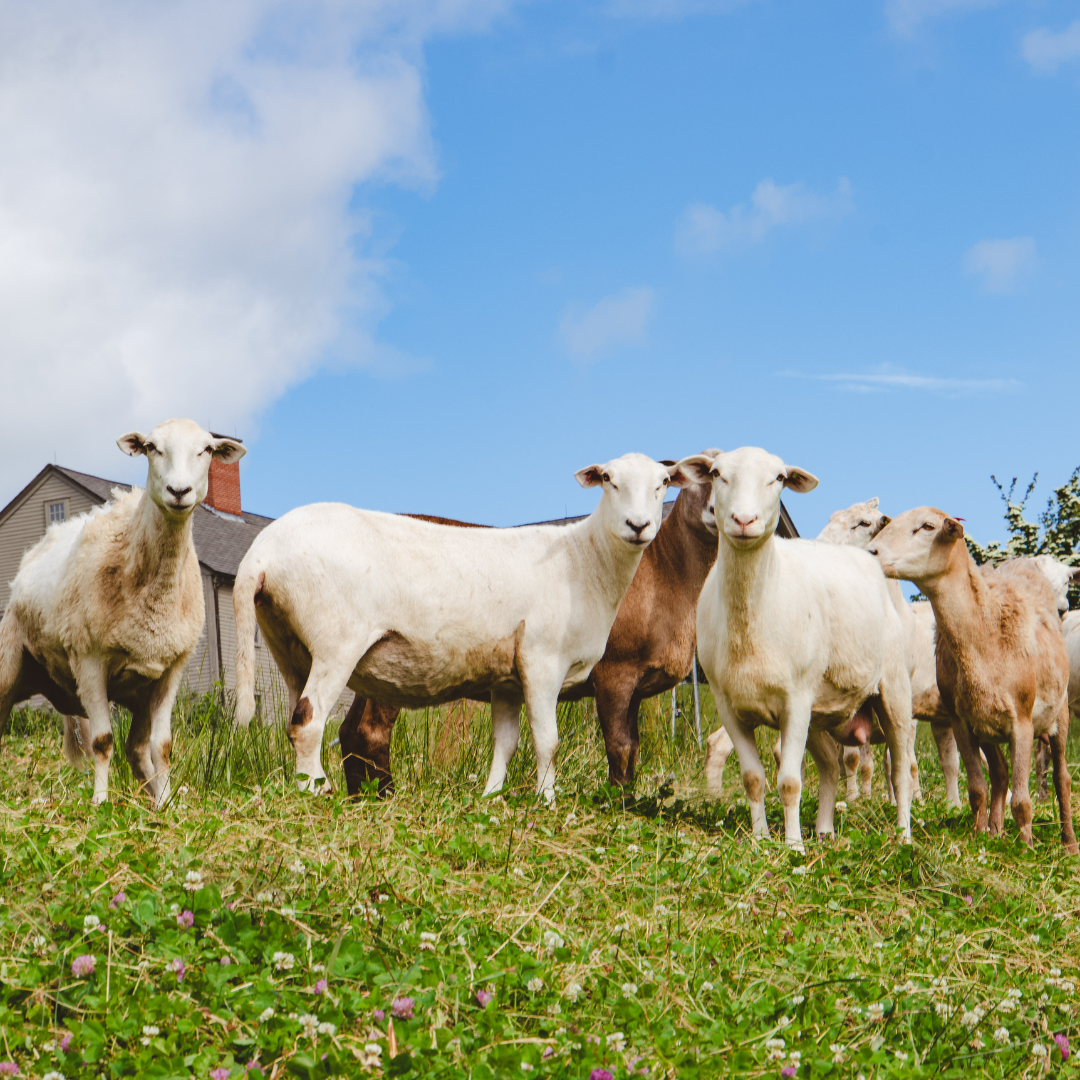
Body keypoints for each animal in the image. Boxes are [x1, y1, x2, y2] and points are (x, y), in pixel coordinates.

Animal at [0, 416, 245, 807]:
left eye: (206, 449)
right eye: (152, 448)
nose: (179, 491)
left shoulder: (169, 671)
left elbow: (162, 746)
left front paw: (166, 804)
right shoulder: (89, 662)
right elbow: (102, 742)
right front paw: (100, 802)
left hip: (137, 692)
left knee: (137, 749)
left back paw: (154, 796)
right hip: (11, 665)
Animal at [234, 451, 691, 799]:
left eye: (664, 482)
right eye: (609, 480)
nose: (638, 526)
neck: (584, 560)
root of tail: (262, 552)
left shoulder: (507, 679)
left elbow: (506, 743)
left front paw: (492, 796)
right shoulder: (543, 660)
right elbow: (549, 741)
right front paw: (546, 800)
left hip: (288, 644)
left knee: (295, 717)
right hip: (336, 641)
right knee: (309, 722)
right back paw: (320, 792)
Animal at [682, 449, 911, 851]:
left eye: (779, 478)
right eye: (716, 474)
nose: (744, 520)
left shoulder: (795, 700)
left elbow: (789, 782)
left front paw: (792, 847)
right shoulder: (729, 705)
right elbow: (753, 778)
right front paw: (760, 840)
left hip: (892, 693)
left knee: (900, 772)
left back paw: (903, 837)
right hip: (818, 712)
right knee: (831, 766)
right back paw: (824, 829)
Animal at [868, 507, 1080, 851]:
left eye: (927, 527)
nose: (871, 552)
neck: (983, 636)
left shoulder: (1022, 721)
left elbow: (1023, 801)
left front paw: (1026, 848)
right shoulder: (962, 723)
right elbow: (978, 790)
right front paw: (980, 837)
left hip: (1057, 716)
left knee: (1062, 779)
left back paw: (1068, 843)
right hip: (988, 725)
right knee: (1001, 774)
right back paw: (995, 832)